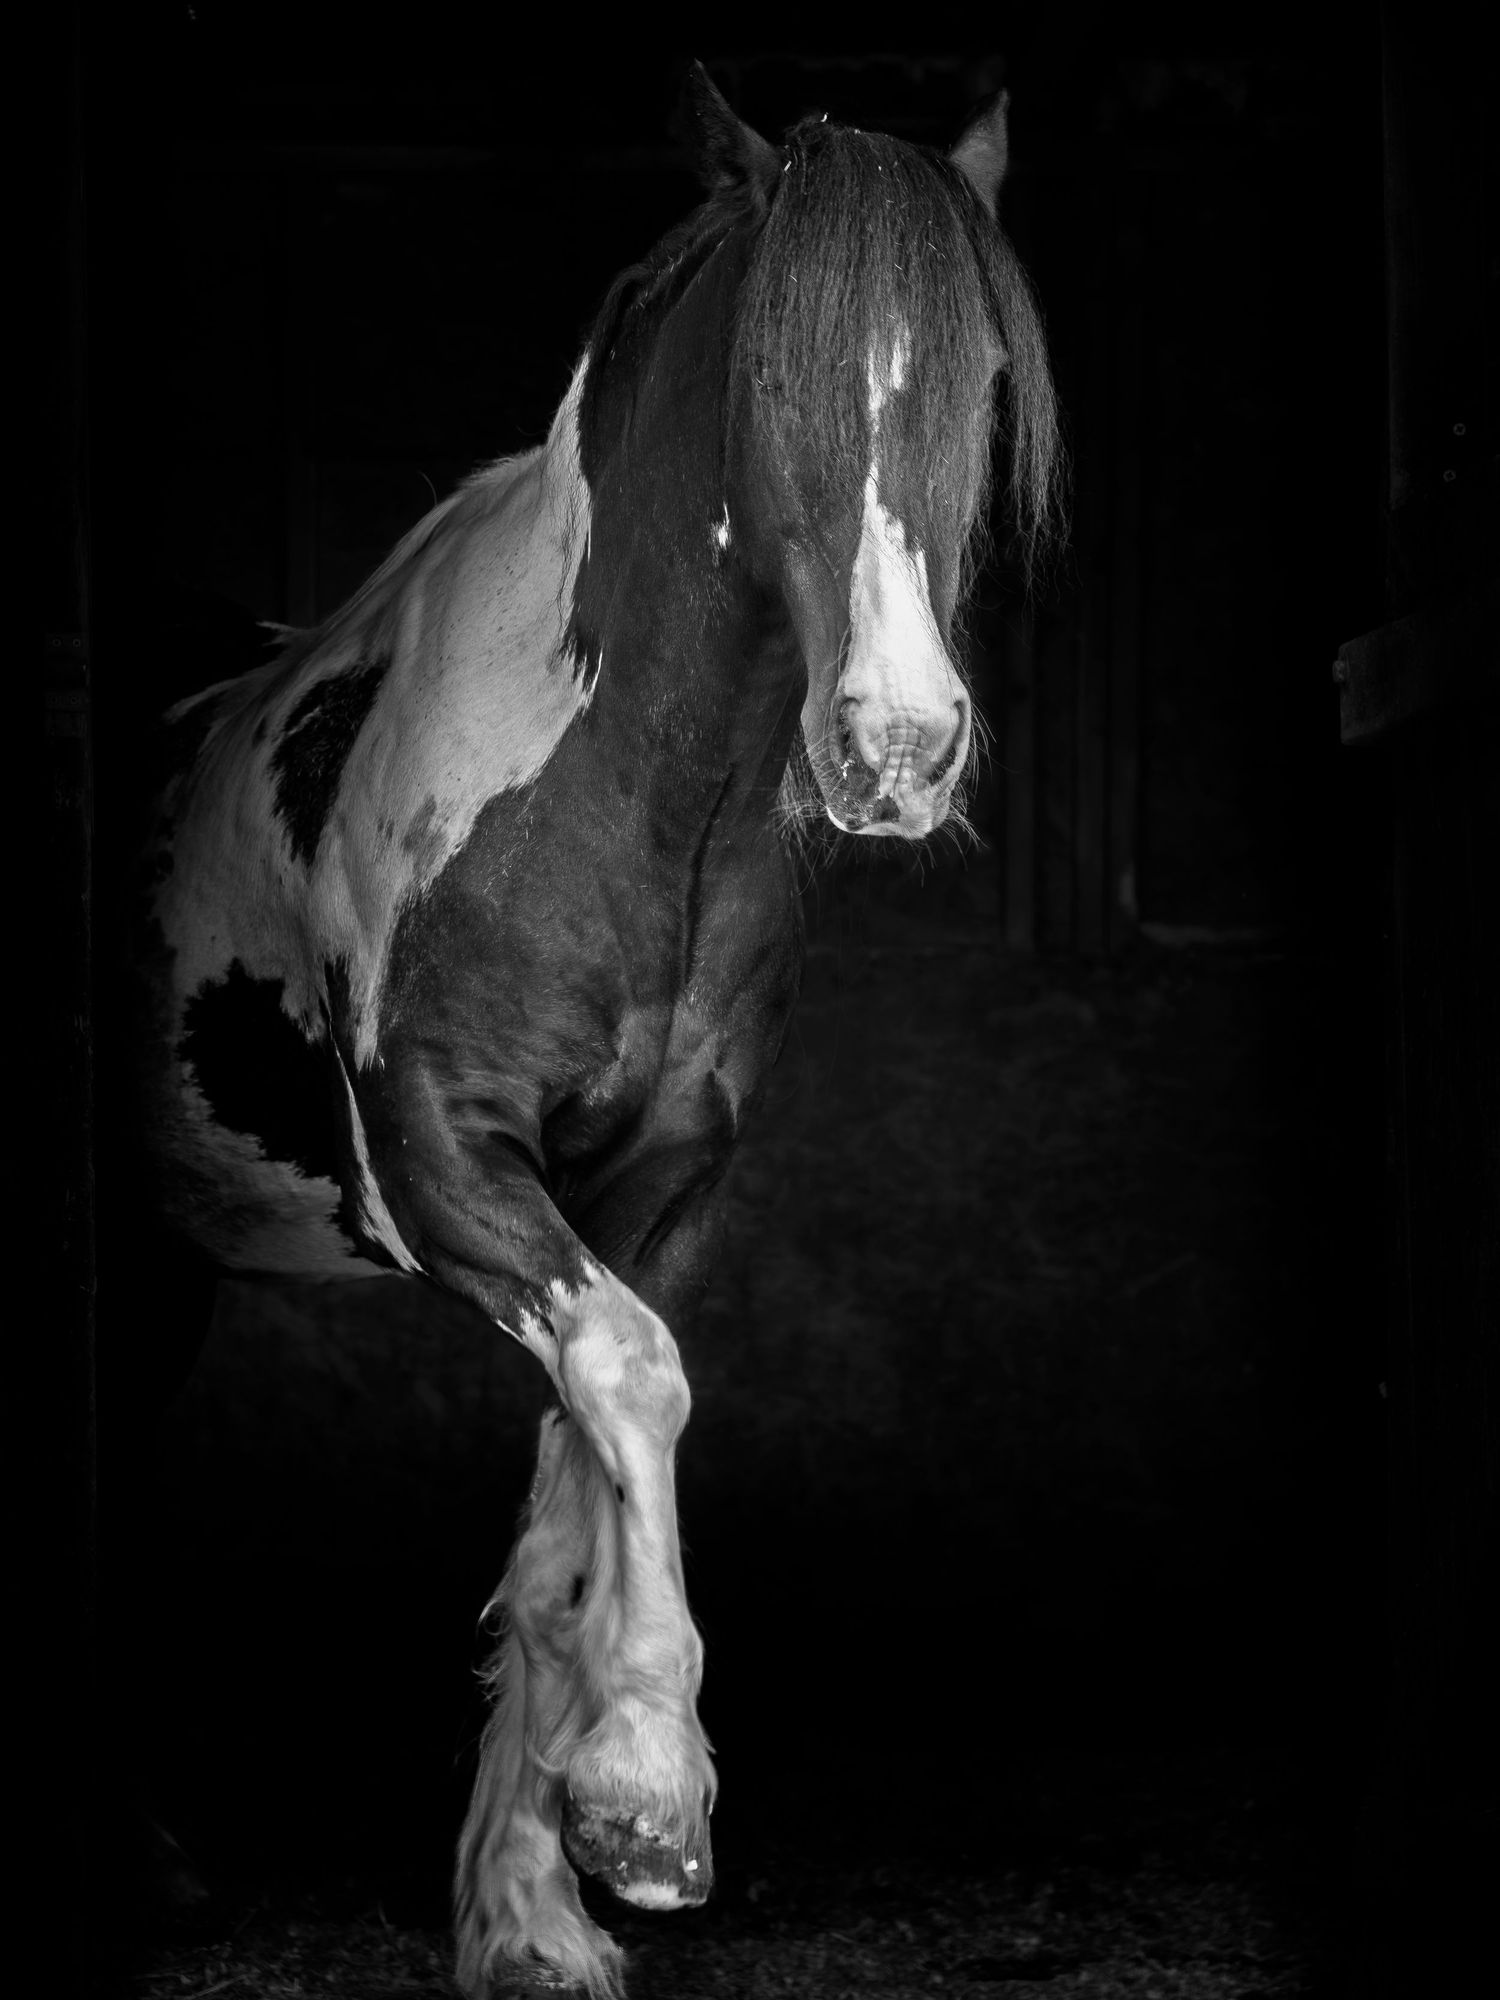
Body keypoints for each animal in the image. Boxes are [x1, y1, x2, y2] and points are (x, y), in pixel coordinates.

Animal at [132, 65, 1062, 1999]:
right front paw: (645, 1803)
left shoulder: (658, 1187)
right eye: (766, 382)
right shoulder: (440, 1160)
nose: (899, 748)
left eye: (988, 387)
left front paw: (531, 1908)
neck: (620, 787)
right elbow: (632, 1380)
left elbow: (576, 1488)